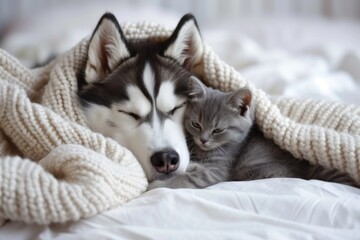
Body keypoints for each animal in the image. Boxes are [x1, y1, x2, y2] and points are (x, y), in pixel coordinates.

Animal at [148, 77, 356, 189]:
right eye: (196, 124)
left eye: (218, 130)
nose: (203, 140)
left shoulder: (217, 170)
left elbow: (185, 178)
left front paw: (158, 185)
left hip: (253, 170)